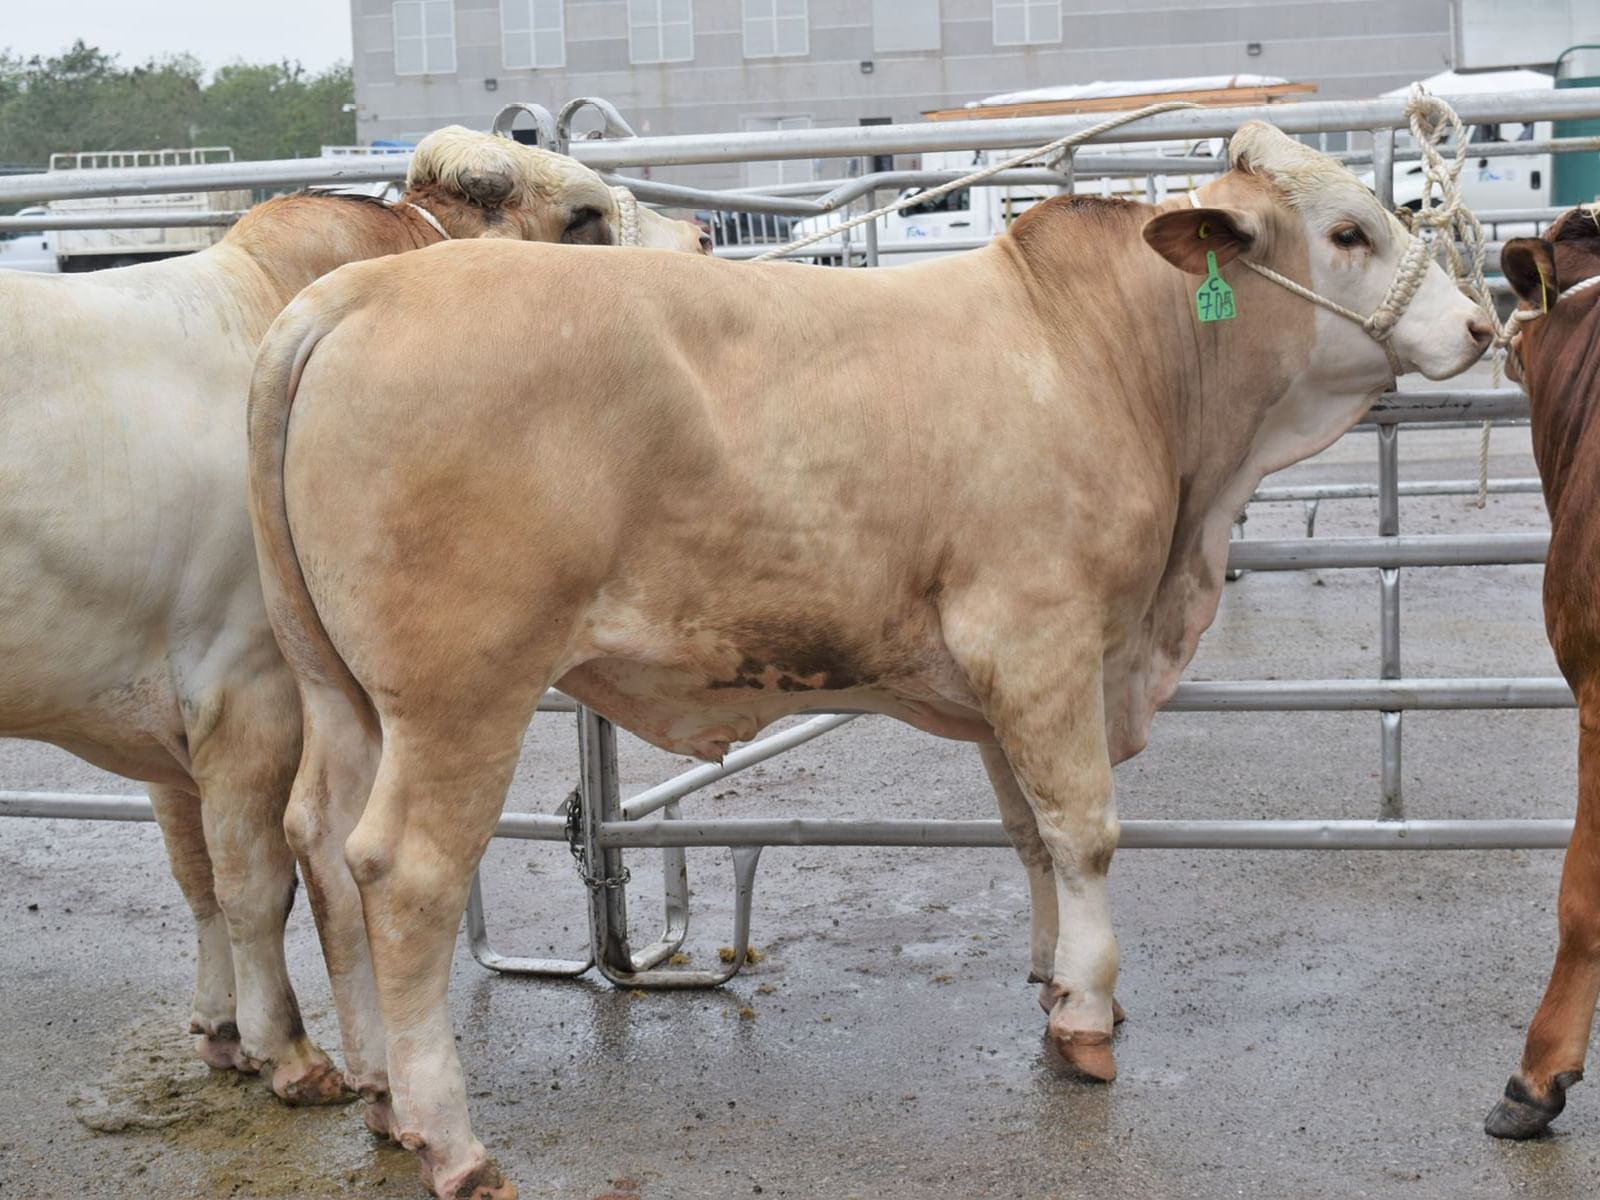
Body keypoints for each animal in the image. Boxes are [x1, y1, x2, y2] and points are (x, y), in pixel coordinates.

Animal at [0, 125, 706, 1110]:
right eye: (583, 217)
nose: (706, 241)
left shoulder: (167, 713)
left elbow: (197, 876)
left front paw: (221, 1031)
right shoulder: (245, 686)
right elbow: (256, 881)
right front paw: (291, 1054)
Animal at [247, 120, 1490, 1199]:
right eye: (1348, 233)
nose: (1479, 326)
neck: (1105, 358)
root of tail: (351, 295)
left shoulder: (1005, 680)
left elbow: (1029, 832)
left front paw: (1051, 977)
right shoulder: (1040, 639)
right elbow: (1084, 829)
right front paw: (1087, 1017)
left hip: (343, 694)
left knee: (318, 841)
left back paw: (379, 1096)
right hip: (462, 695)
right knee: (404, 874)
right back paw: (453, 1141)